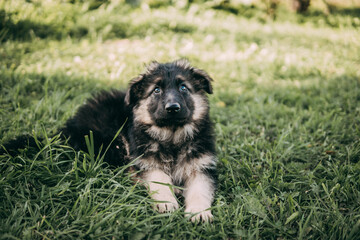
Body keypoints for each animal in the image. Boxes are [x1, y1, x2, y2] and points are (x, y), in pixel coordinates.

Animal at [2, 59, 217, 221]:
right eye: (156, 90)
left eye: (183, 88)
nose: (172, 108)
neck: (172, 138)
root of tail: (66, 129)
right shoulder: (145, 161)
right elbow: (159, 179)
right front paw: (166, 201)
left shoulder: (202, 166)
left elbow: (200, 188)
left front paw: (198, 212)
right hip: (109, 140)